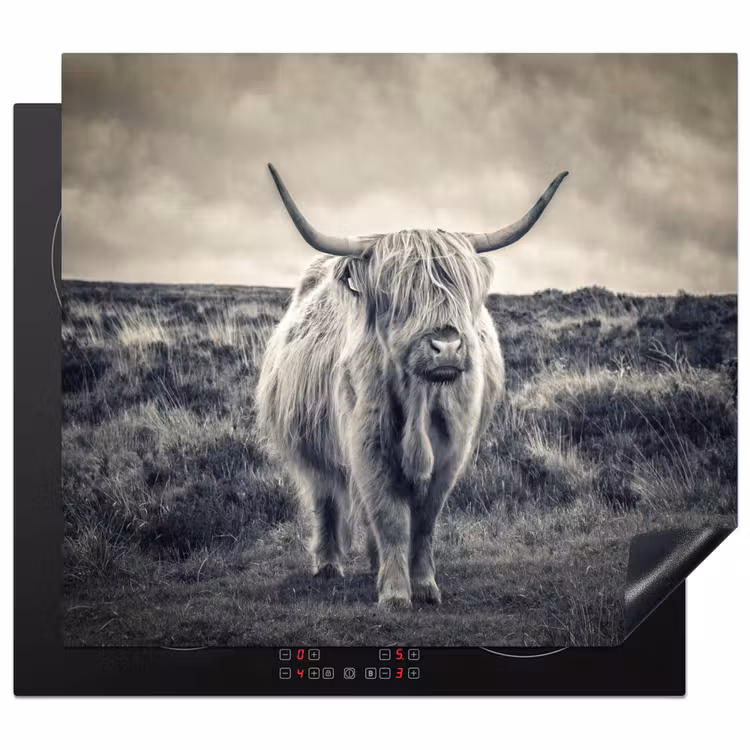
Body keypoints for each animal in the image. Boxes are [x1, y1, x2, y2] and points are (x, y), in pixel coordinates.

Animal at [256, 164, 568, 610]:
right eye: (398, 296)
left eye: (461, 289)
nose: (447, 346)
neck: (420, 399)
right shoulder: (368, 446)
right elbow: (389, 517)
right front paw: (395, 593)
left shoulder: (451, 453)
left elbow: (423, 522)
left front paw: (423, 585)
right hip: (311, 448)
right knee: (326, 498)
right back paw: (329, 564)